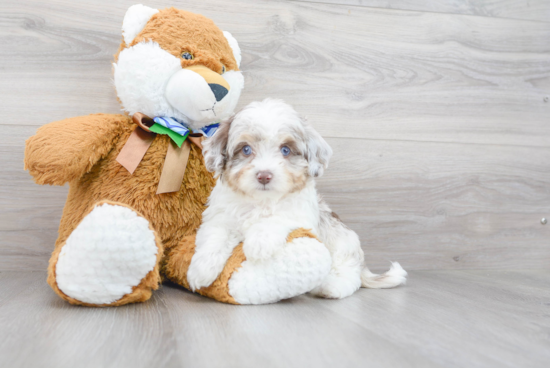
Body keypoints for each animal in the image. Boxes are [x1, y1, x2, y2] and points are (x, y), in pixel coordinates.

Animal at [188, 98, 408, 300]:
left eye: (285, 150)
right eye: (246, 149)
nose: (264, 176)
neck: (262, 201)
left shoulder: (299, 215)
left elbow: (278, 218)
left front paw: (259, 242)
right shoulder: (220, 217)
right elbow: (215, 236)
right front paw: (201, 269)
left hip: (343, 248)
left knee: (347, 275)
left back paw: (331, 286)